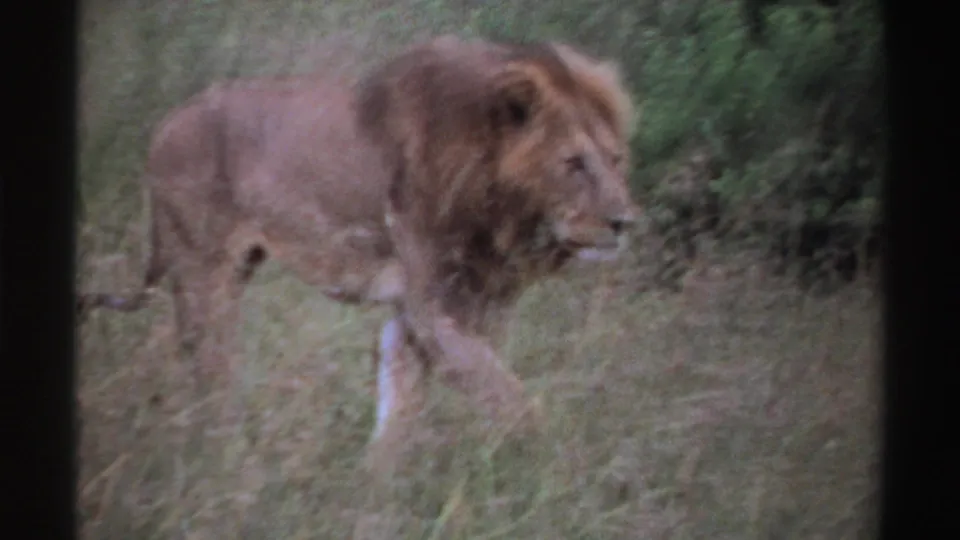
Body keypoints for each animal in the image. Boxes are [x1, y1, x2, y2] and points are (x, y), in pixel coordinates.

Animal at [78, 35, 640, 458]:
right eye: (572, 163)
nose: (626, 222)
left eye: (615, 159)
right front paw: (564, 466)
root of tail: (165, 124)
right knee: (208, 370)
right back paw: (223, 456)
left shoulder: (426, 311)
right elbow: (515, 402)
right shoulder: (436, 307)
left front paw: (378, 487)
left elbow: (401, 407)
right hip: (203, 272)